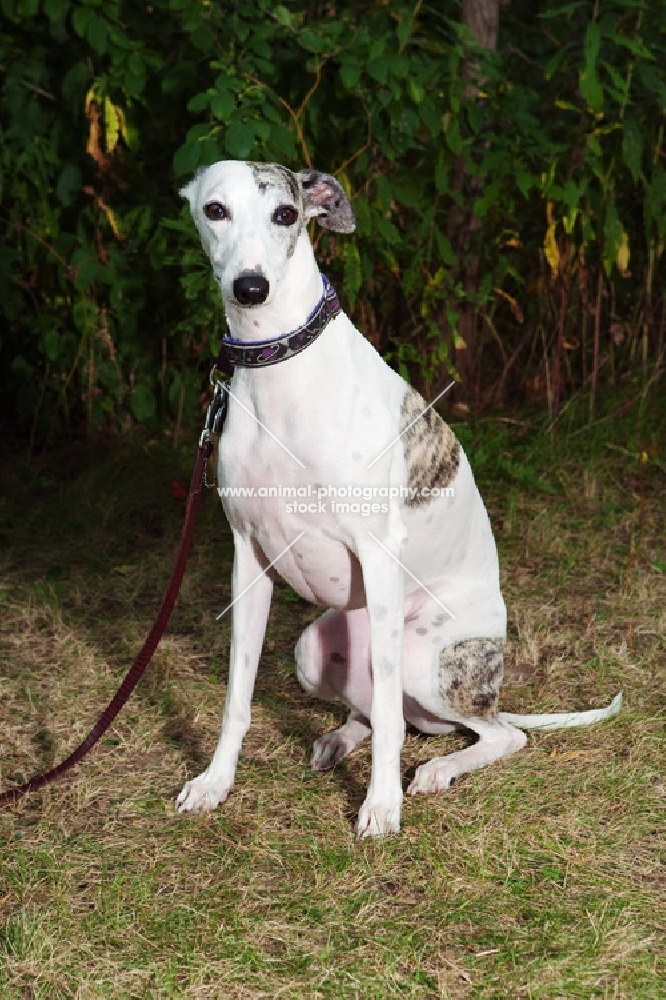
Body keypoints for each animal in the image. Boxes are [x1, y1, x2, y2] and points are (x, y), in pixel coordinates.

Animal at [175, 162, 616, 836]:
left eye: (285, 214)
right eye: (215, 209)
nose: (251, 288)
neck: (281, 372)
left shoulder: (378, 553)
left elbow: (387, 719)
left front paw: (381, 808)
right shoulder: (249, 557)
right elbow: (237, 697)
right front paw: (214, 783)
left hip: (427, 659)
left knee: (489, 732)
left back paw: (438, 769)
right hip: (312, 650)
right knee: (385, 714)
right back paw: (337, 740)